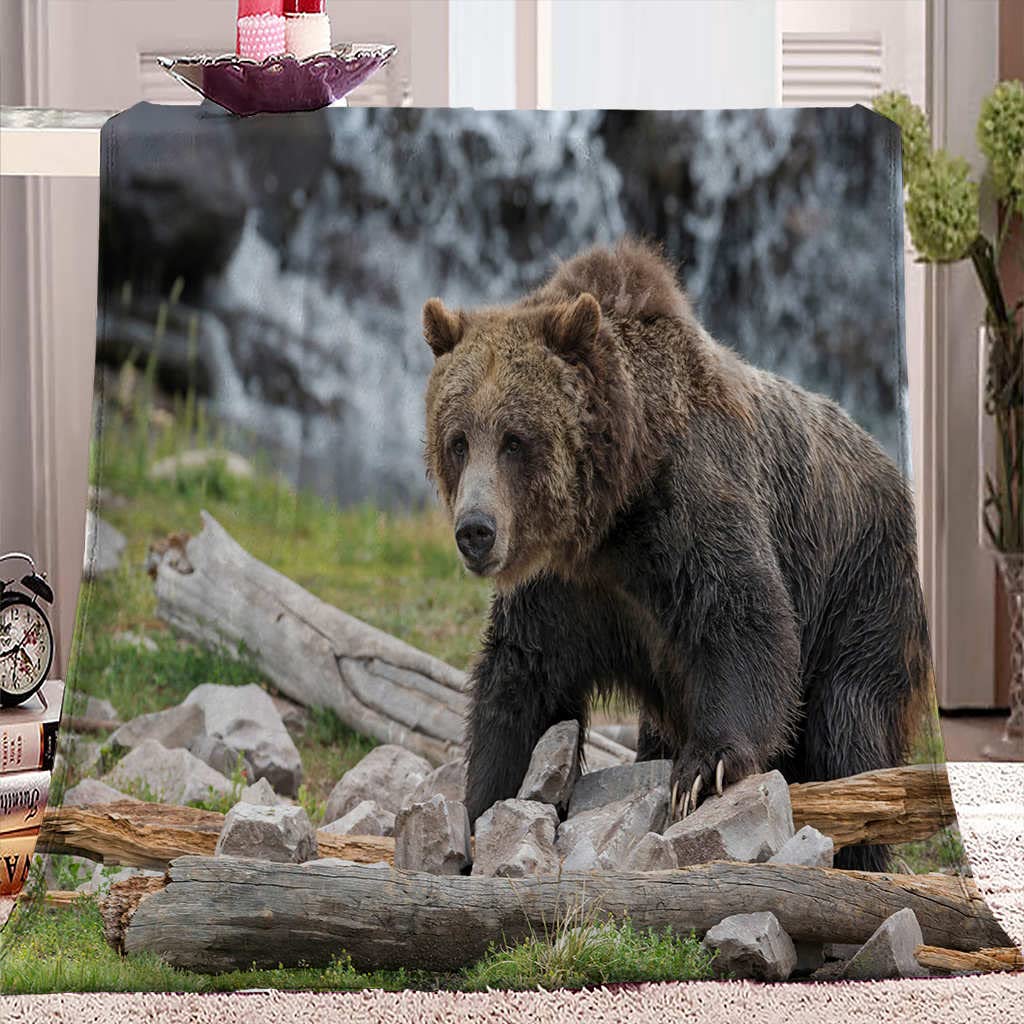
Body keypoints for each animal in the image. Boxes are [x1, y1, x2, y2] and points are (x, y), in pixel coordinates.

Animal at [422, 238, 931, 872]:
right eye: (458, 440)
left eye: (515, 440)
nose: (476, 530)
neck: (612, 514)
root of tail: (889, 466)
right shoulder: (566, 589)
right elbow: (522, 680)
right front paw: (480, 808)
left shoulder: (689, 512)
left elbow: (745, 621)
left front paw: (703, 769)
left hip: (861, 583)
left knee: (851, 722)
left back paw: (860, 849)